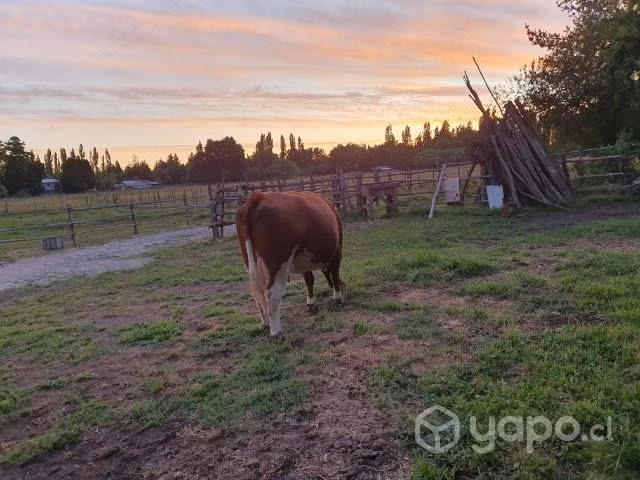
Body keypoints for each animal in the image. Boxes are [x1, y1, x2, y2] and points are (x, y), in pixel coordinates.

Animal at [236, 191, 344, 337]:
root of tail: (257, 197)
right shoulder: (337, 251)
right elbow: (334, 275)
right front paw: (338, 297)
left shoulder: (304, 260)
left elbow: (309, 280)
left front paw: (311, 303)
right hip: (279, 264)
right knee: (271, 294)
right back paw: (276, 331)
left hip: (249, 262)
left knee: (257, 293)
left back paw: (265, 323)